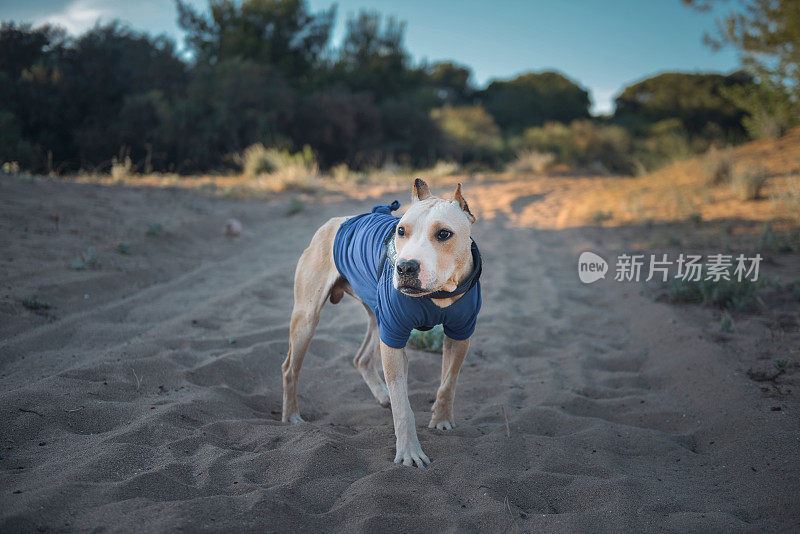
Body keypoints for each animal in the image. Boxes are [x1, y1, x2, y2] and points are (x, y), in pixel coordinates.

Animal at [282, 179, 482, 468]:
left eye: (444, 234)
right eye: (401, 230)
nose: (406, 268)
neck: (438, 293)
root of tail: (337, 221)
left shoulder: (460, 333)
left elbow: (448, 382)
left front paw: (441, 419)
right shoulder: (394, 338)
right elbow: (403, 406)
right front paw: (409, 452)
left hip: (378, 319)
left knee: (362, 359)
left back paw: (381, 394)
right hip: (307, 318)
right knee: (290, 368)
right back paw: (291, 417)